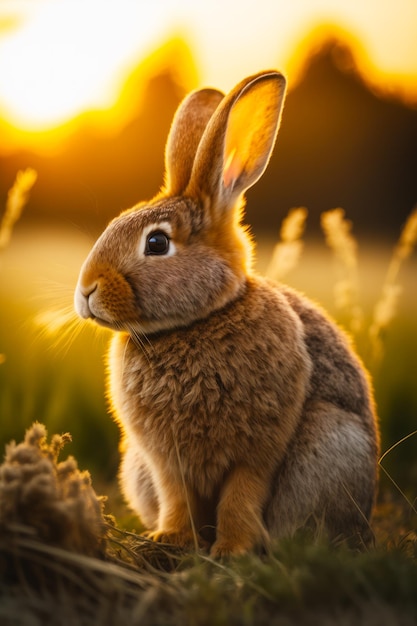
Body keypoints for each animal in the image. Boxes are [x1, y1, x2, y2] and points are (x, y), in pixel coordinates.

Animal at [73, 69, 378, 556]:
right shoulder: (164, 462)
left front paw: (232, 551)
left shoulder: (257, 452)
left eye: (156, 243)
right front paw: (170, 541)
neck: (198, 321)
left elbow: (240, 496)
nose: (86, 292)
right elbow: (178, 498)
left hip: (333, 442)